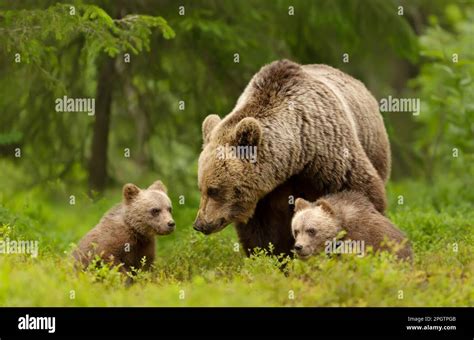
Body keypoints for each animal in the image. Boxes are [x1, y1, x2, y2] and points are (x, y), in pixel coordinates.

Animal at [192, 59, 388, 255]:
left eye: (214, 190)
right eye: (201, 188)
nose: (199, 225)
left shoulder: (331, 158)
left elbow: (361, 192)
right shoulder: (264, 196)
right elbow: (262, 231)